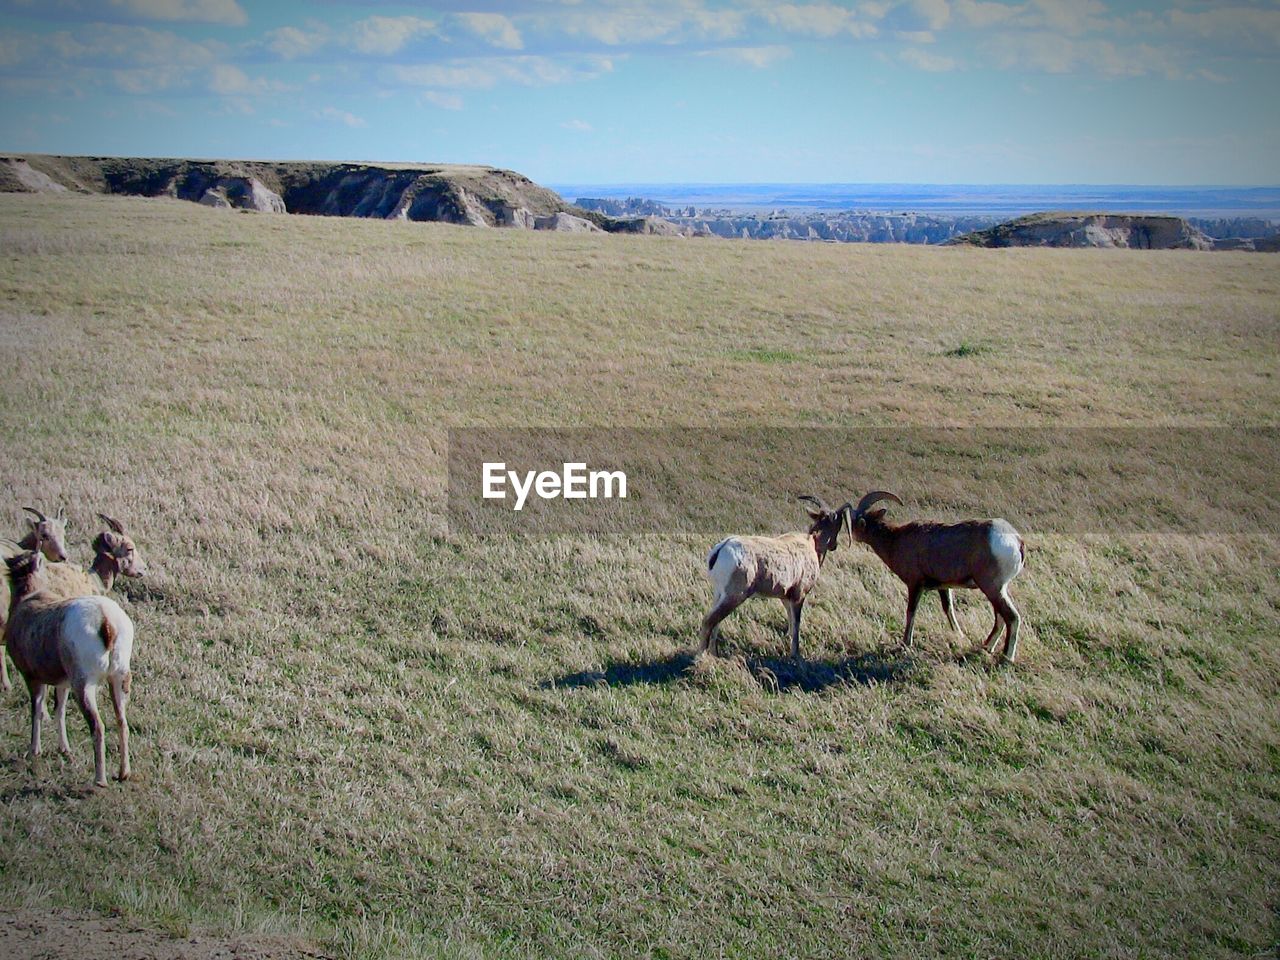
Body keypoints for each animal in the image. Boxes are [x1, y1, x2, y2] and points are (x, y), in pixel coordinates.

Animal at [3, 547, 135, 788]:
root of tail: (107, 622)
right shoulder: (62, 683)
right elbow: (60, 710)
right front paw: (64, 748)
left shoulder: (32, 678)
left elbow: (37, 710)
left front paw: (34, 751)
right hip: (119, 678)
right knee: (122, 722)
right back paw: (123, 774)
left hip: (84, 685)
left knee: (98, 726)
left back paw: (100, 780)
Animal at [701, 496, 849, 660]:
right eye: (839, 525)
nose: (834, 545)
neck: (811, 544)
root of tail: (721, 548)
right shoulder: (799, 596)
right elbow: (796, 624)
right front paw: (795, 654)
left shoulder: (785, 597)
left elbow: (791, 622)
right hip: (734, 597)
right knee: (708, 621)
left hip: (719, 595)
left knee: (715, 622)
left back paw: (714, 654)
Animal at [844, 491, 1024, 665]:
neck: (895, 541)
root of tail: (1016, 539)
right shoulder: (944, 587)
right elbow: (948, 608)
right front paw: (959, 635)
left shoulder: (915, 585)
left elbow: (911, 612)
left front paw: (906, 643)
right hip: (996, 590)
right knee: (1000, 618)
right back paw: (986, 648)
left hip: (992, 588)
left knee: (1012, 617)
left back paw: (1006, 658)